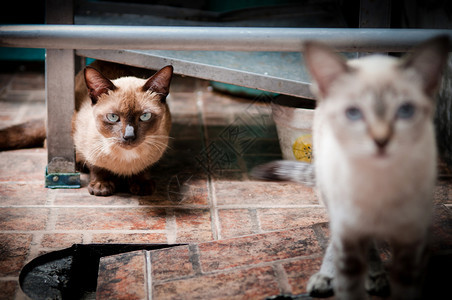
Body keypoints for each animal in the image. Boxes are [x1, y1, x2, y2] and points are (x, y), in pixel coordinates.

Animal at [0, 61, 174, 197]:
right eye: (113, 117)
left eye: (145, 116)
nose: (129, 136)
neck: (126, 158)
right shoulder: (86, 143)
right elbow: (96, 167)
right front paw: (101, 186)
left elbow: (144, 169)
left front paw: (141, 184)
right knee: (46, 143)